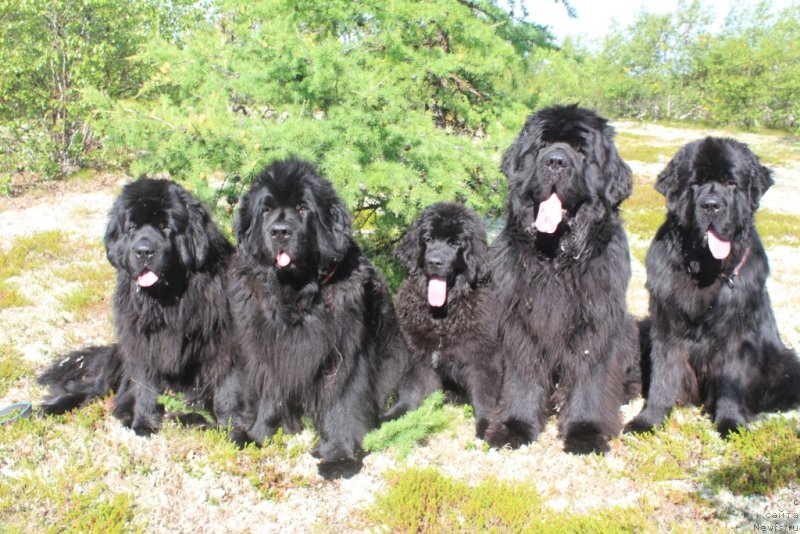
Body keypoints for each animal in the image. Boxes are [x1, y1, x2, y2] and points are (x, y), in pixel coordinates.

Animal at [38, 178, 238, 438]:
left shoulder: (220, 341)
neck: (168, 300)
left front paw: (228, 428)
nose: (143, 251)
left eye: (166, 227)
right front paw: (144, 424)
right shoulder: (140, 342)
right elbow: (146, 387)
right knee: (94, 387)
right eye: (132, 228)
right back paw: (54, 406)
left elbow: (224, 385)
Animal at [228, 159, 410, 482]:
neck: (296, 295)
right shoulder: (269, 349)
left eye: (303, 208)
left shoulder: (344, 352)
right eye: (266, 209)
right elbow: (269, 392)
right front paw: (258, 434)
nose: (280, 231)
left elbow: (341, 401)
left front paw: (339, 456)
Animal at [386, 203, 500, 438]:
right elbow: (413, 390)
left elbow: (484, 395)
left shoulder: (483, 356)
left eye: (455, 243)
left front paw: (487, 425)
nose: (434, 262)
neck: (442, 318)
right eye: (428, 239)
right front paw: (395, 417)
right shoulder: (418, 354)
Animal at [484, 105, 640, 456]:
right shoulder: (519, 325)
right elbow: (523, 376)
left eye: (582, 151)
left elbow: (589, 380)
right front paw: (514, 427)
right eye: (542, 146)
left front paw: (586, 433)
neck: (556, 260)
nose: (555, 162)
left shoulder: (596, 324)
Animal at [624, 136, 800, 438]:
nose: (711, 205)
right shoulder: (665, 327)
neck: (705, 270)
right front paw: (649, 420)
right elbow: (663, 376)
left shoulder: (737, 336)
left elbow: (732, 381)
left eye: (732, 183)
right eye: (695, 183)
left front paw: (730, 422)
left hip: (784, 362)